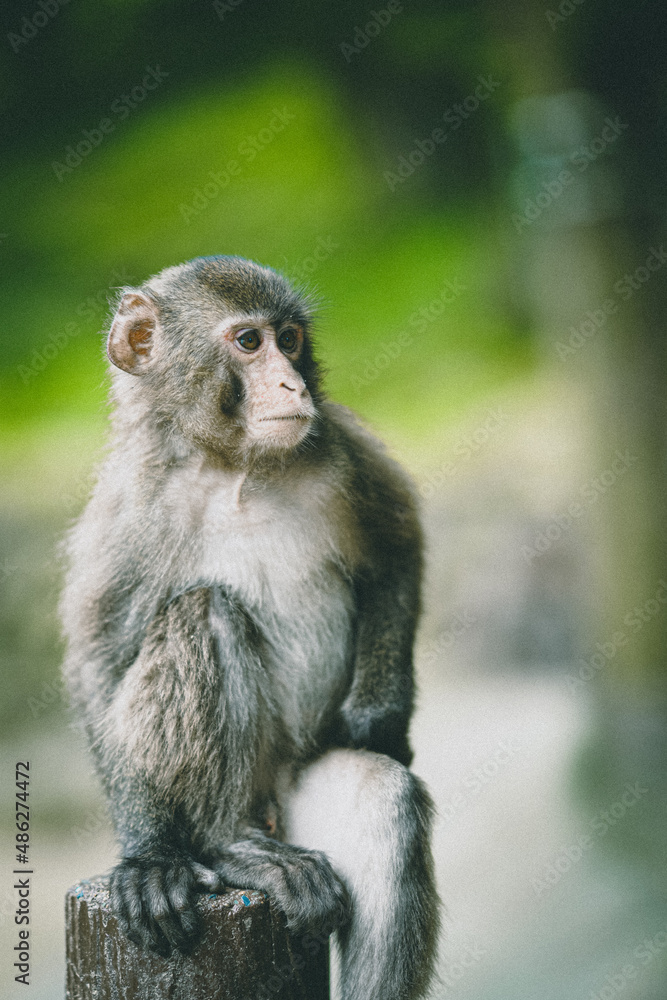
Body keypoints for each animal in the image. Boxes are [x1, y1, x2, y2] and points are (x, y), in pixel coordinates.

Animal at [61, 255, 440, 1000]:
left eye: (289, 339)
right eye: (247, 343)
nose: (292, 383)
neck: (232, 466)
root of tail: (267, 805)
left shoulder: (336, 446)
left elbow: (395, 553)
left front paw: (379, 721)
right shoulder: (128, 505)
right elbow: (98, 659)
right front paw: (147, 853)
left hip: (301, 782)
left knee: (383, 805)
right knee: (204, 610)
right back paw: (226, 844)